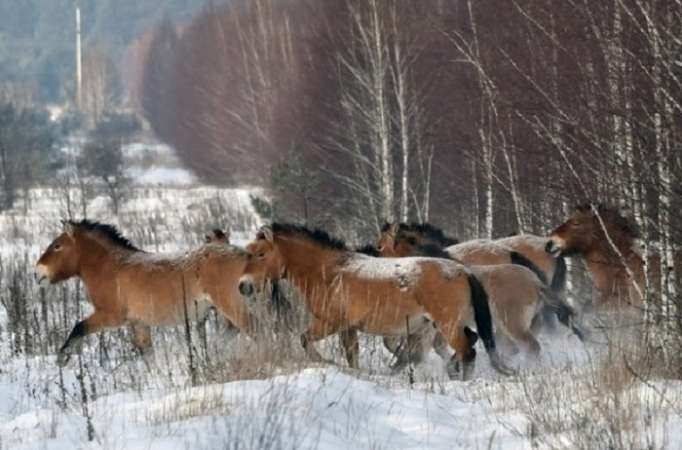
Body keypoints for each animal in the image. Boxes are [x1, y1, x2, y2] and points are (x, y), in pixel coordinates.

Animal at [35, 221, 262, 366]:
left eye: (57, 246)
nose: (37, 273)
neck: (112, 268)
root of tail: (247, 256)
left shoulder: (110, 316)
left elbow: (79, 328)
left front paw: (62, 358)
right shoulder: (139, 324)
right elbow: (147, 356)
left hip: (232, 307)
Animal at [236, 223, 512, 378]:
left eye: (260, 254)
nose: (243, 286)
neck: (329, 272)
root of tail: (463, 271)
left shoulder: (331, 323)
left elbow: (305, 340)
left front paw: (325, 362)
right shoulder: (348, 329)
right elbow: (352, 355)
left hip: (447, 326)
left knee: (468, 351)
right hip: (438, 326)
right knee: (469, 342)